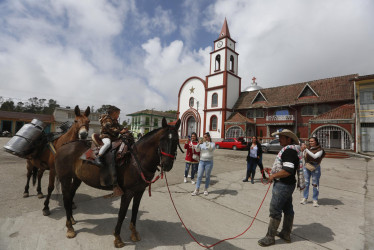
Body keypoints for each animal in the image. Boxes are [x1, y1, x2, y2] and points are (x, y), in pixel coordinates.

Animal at [55, 117, 181, 248]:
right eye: (162, 140)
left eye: (176, 140)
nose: (167, 165)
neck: (136, 160)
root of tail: (63, 146)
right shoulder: (127, 193)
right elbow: (122, 213)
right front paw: (117, 238)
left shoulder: (139, 191)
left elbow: (135, 210)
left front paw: (134, 233)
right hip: (65, 179)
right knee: (66, 199)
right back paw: (70, 228)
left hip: (77, 178)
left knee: (70, 196)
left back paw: (72, 220)